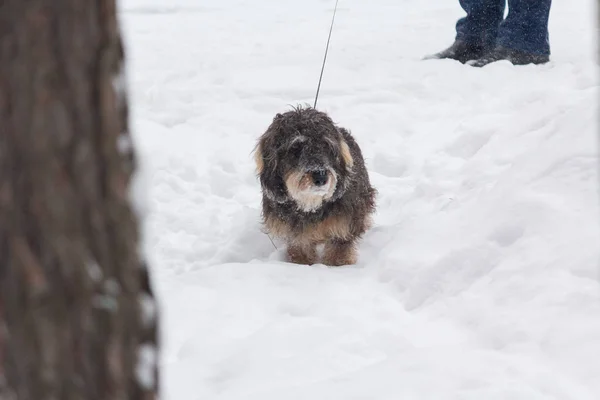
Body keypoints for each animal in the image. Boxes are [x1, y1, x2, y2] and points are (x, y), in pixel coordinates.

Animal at [253, 108, 376, 268]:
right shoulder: (298, 236)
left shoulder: (343, 227)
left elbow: (339, 251)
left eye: (327, 146)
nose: (321, 177)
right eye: (295, 148)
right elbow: (300, 250)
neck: (310, 206)